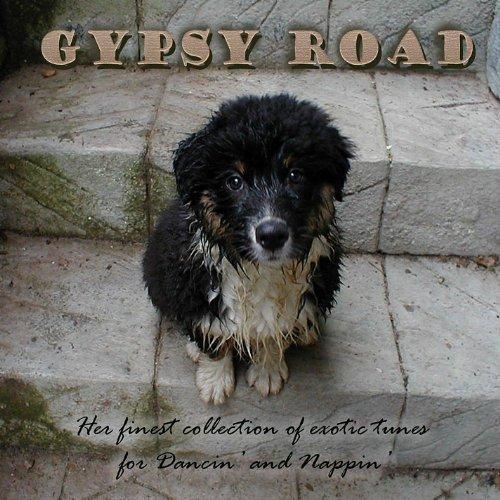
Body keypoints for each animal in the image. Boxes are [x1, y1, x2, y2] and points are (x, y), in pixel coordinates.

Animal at [143, 94, 353, 404]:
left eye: (295, 175)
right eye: (234, 181)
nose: (271, 235)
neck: (262, 269)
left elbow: (274, 335)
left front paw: (268, 372)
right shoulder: (202, 289)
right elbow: (213, 335)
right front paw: (215, 382)